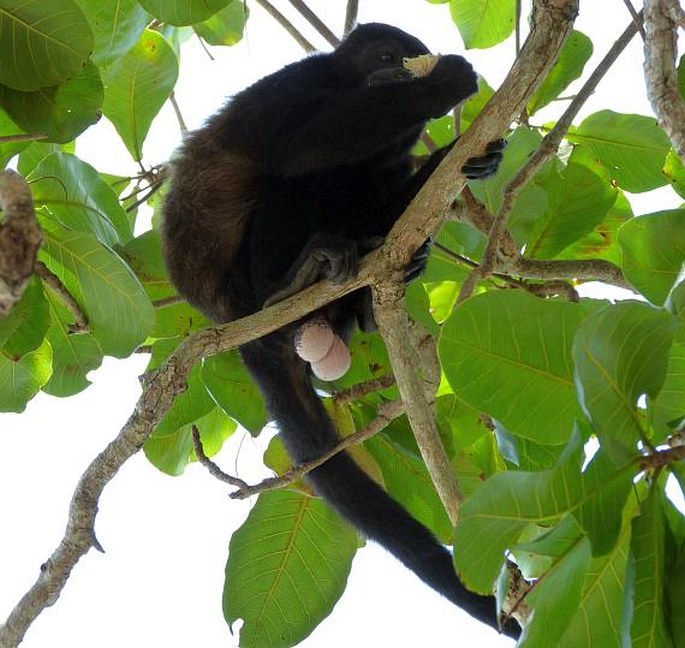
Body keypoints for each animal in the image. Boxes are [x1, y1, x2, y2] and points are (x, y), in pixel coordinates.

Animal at [163, 24, 516, 636]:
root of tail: (232, 321)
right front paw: (441, 88)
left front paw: (471, 156)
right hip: (249, 281)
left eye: (405, 56)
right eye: (387, 55)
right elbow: (294, 152)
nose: (397, 72)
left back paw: (383, 281)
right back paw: (295, 279)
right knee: (293, 181)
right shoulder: (295, 84)